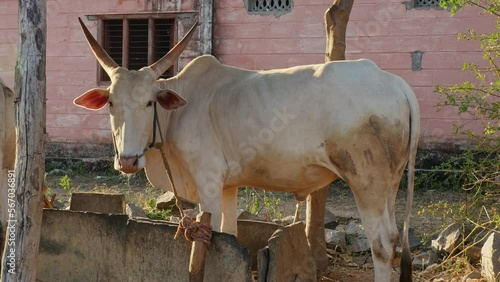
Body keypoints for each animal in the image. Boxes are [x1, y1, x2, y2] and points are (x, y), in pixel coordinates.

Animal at [74, 18, 418, 280]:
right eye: (111, 103)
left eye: (149, 102)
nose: (128, 161)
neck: (180, 109)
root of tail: (396, 83)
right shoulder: (228, 186)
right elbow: (230, 234)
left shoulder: (208, 180)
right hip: (391, 182)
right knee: (393, 238)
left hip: (366, 180)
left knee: (382, 243)